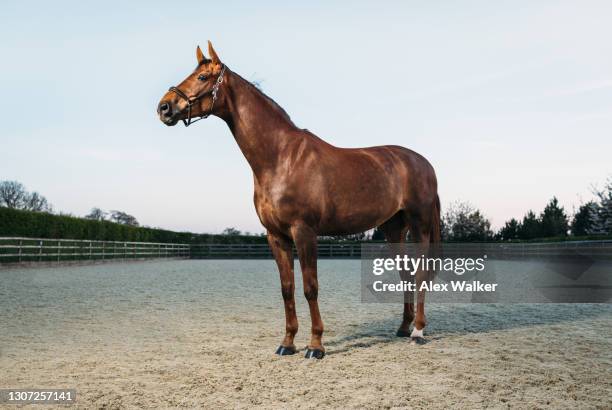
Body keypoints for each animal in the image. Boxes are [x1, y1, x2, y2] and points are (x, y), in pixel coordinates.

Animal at [158, 41, 440, 358]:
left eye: (203, 77)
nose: (164, 107)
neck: (280, 157)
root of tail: (423, 163)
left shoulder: (304, 232)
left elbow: (310, 287)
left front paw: (315, 345)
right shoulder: (276, 236)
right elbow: (287, 288)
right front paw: (287, 342)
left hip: (419, 225)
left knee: (421, 273)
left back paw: (418, 331)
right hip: (394, 228)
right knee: (406, 274)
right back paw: (403, 328)